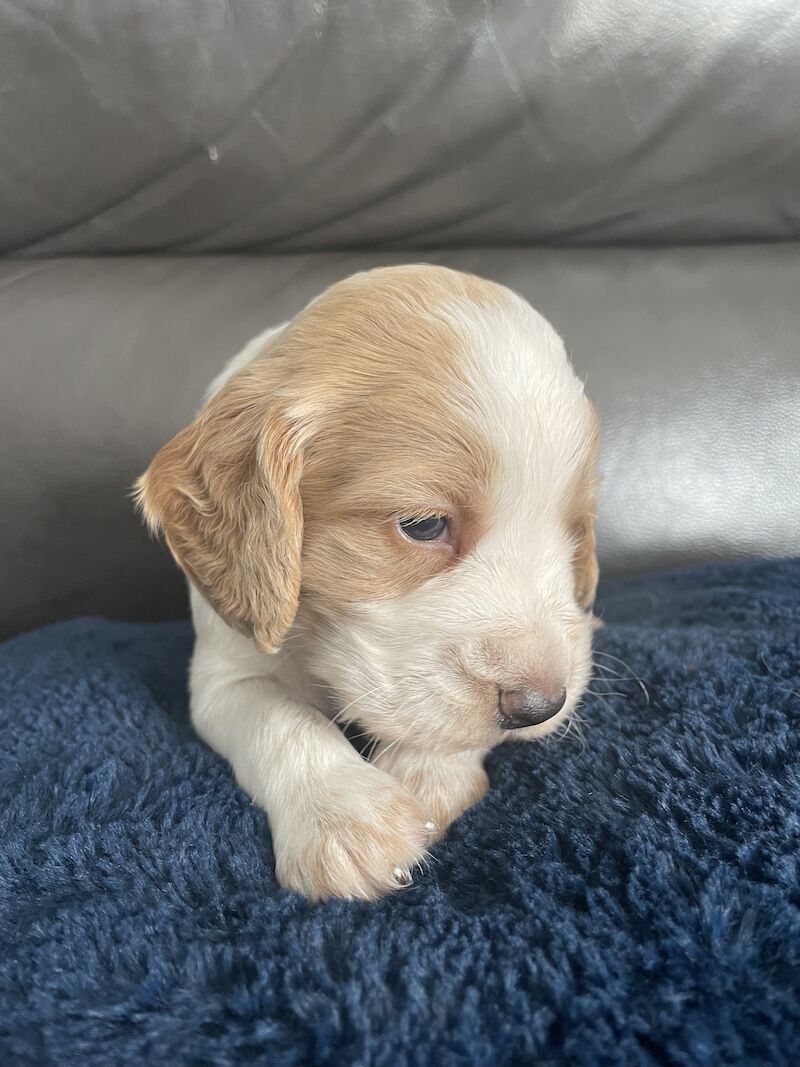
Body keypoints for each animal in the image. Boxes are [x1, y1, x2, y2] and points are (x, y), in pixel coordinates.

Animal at [139, 266, 601, 900]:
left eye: (574, 534)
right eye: (423, 524)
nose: (540, 707)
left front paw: (426, 772)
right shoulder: (225, 671)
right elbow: (282, 719)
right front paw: (345, 817)